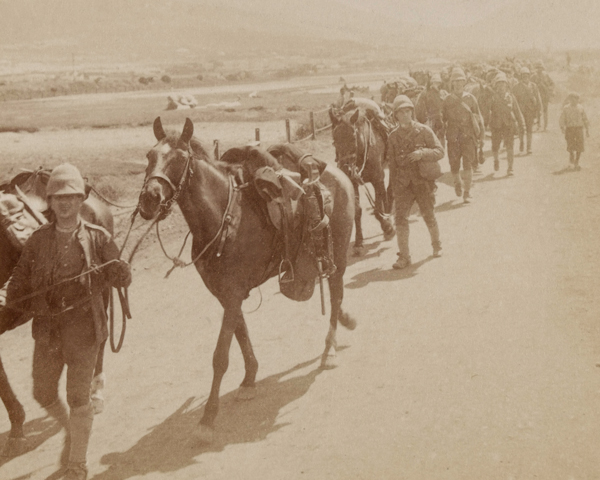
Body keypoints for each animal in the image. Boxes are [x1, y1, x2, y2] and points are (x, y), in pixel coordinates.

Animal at [138, 118, 356, 444]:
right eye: (149, 156)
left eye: (179, 158)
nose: (149, 199)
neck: (222, 218)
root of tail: (337, 173)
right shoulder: (226, 293)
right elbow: (241, 334)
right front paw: (250, 379)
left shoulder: (232, 294)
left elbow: (220, 356)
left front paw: (207, 418)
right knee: (335, 297)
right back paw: (345, 321)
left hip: (339, 257)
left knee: (336, 293)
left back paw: (329, 348)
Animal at [328, 105, 394, 255]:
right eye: (334, 140)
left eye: (353, 137)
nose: (345, 168)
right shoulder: (354, 182)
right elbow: (357, 211)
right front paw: (359, 241)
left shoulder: (378, 179)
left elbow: (377, 206)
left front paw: (388, 226)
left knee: (389, 191)